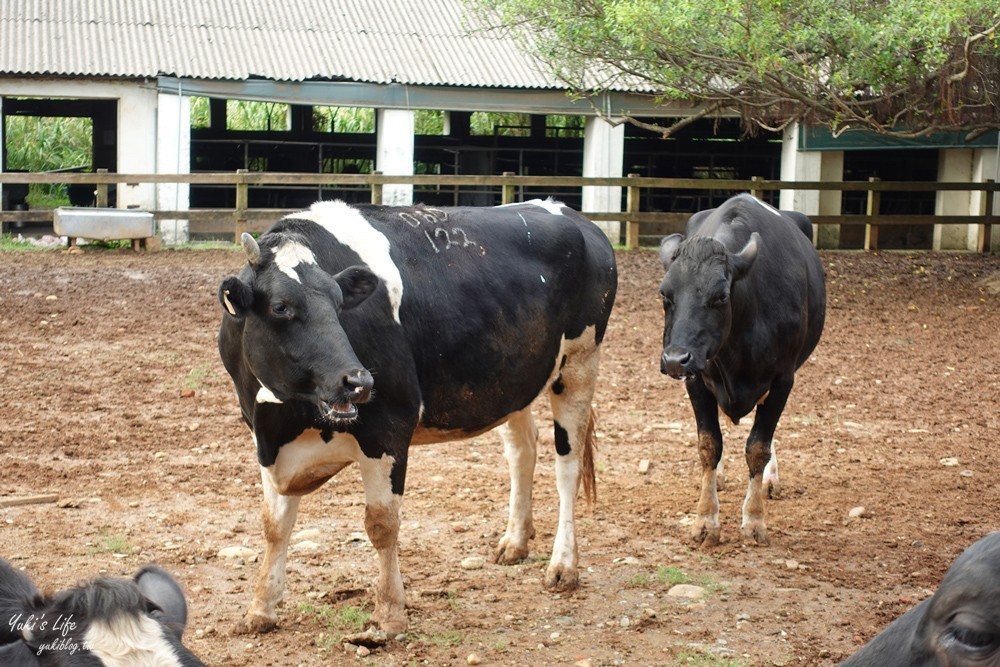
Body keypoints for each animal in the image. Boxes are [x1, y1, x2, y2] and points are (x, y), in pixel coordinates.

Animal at [219, 200, 616, 636]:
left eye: (340, 305)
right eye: (280, 307)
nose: (358, 381)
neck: (282, 419)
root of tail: (568, 213)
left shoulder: (389, 429)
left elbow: (381, 524)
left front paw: (389, 615)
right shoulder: (265, 440)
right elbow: (274, 525)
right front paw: (261, 609)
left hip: (580, 363)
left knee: (568, 467)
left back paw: (563, 566)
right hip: (515, 380)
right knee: (522, 450)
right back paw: (515, 541)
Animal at [660, 193, 824, 548]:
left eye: (721, 296)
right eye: (664, 294)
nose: (675, 359)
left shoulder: (782, 379)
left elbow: (758, 447)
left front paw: (755, 519)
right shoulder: (697, 380)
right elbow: (709, 444)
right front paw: (706, 519)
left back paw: (770, 480)